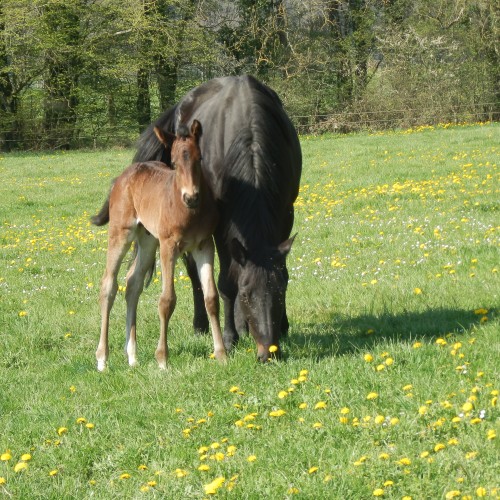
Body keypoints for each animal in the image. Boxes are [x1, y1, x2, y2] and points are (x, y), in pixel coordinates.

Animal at [92, 120, 227, 372]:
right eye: (173, 162)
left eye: (200, 158)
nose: (191, 197)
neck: (189, 212)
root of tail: (122, 176)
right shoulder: (168, 246)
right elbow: (167, 300)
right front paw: (162, 359)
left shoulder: (204, 245)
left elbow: (211, 298)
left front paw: (221, 354)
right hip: (121, 233)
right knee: (108, 285)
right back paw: (102, 358)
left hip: (147, 240)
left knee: (132, 283)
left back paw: (132, 356)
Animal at [133, 74, 302, 362]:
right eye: (246, 293)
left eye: (281, 290)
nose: (268, 352)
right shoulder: (220, 226)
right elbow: (224, 283)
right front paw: (229, 338)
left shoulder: (284, 213)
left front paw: (283, 325)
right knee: (194, 274)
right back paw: (202, 325)